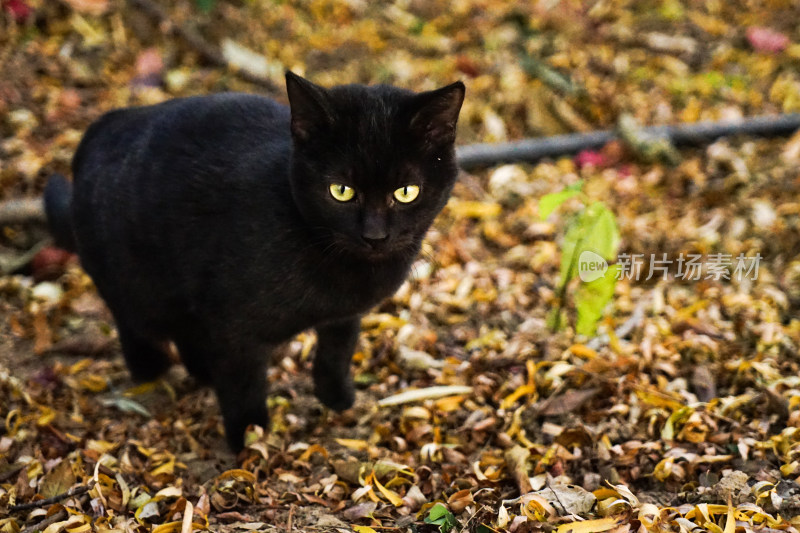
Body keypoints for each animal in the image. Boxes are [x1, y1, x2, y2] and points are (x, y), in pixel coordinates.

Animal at [43, 70, 466, 448]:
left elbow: (337, 352)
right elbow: (243, 381)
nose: (375, 236)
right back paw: (153, 369)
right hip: (137, 285)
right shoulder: (235, 326)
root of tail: (101, 125)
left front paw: (336, 397)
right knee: (136, 325)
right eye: (341, 191)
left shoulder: (343, 317)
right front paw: (249, 437)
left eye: (406, 192)